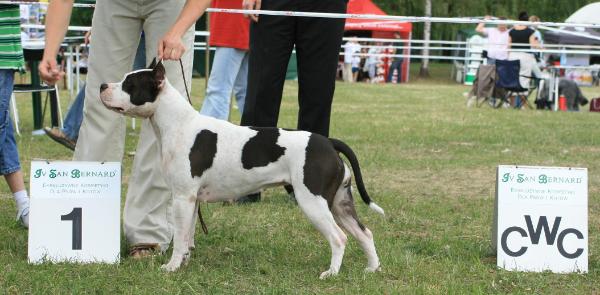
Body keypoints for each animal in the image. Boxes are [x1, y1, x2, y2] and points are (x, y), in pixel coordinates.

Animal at [99, 60, 384, 280]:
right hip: (340, 203)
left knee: (339, 238)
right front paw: (184, 263)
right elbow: (188, 235)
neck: (177, 123)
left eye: (129, 85)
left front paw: (171, 267)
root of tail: (328, 141)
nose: (102, 86)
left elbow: (179, 237)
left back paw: (331, 273)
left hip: (313, 201)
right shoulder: (191, 200)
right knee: (364, 233)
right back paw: (372, 269)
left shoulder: (181, 198)